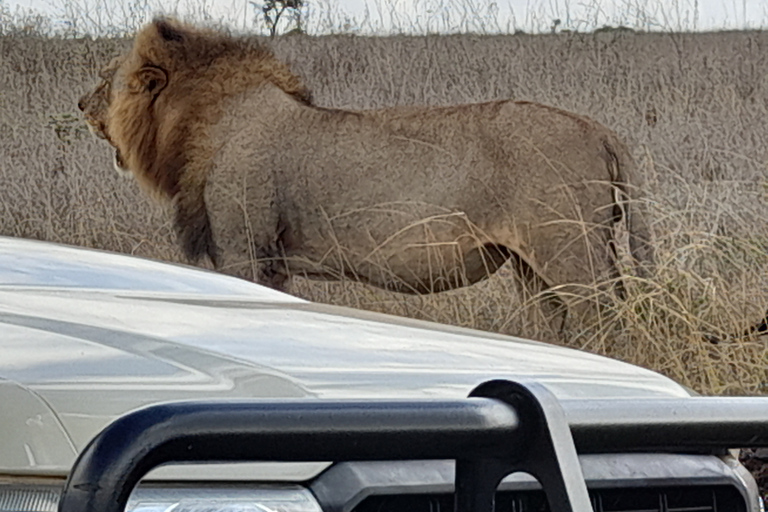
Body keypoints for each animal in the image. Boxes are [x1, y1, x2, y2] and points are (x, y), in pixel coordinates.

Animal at [79, 19, 656, 316]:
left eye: (107, 79)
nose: (81, 104)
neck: (199, 123)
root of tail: (599, 129)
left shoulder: (244, 249)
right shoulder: (274, 262)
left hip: (572, 254)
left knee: (607, 318)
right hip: (533, 267)